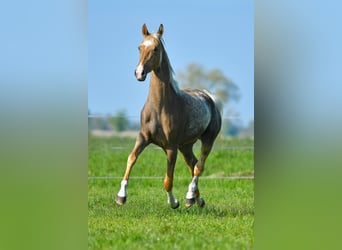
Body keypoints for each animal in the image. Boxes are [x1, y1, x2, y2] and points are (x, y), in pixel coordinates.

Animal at [115, 23, 222, 208]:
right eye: (139, 47)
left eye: (156, 48)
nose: (139, 73)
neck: (160, 108)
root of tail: (209, 97)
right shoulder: (143, 138)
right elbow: (131, 159)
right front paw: (121, 196)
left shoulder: (171, 147)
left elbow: (168, 181)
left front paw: (174, 202)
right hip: (186, 146)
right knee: (193, 164)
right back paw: (197, 200)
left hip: (207, 140)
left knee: (199, 167)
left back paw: (189, 196)